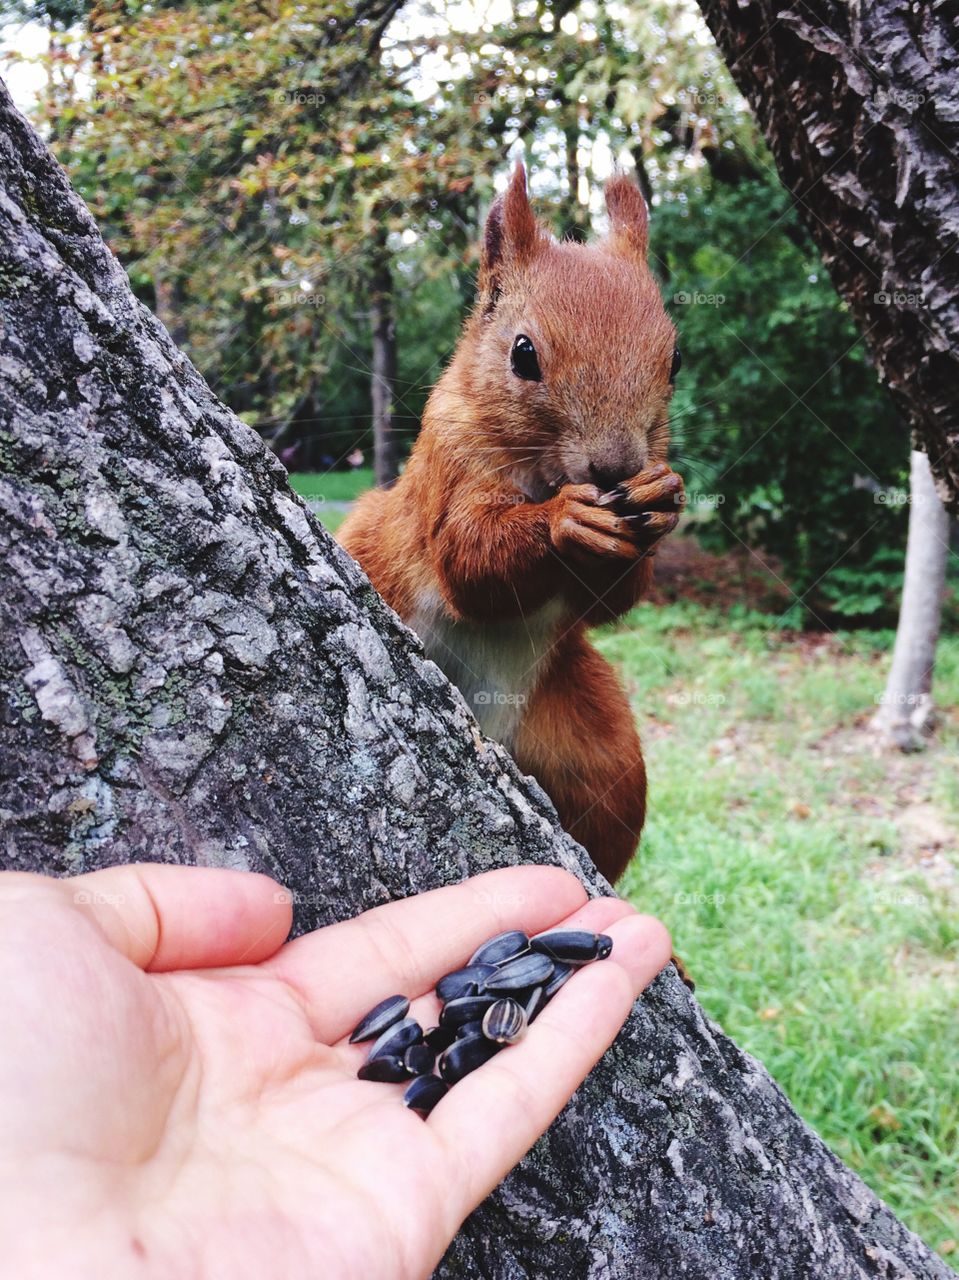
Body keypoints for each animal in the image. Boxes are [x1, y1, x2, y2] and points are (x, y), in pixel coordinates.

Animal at [339, 163, 684, 886]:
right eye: (523, 354)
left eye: (675, 360)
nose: (614, 467)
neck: (543, 475)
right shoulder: (445, 472)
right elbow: (469, 560)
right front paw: (563, 520)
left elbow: (611, 603)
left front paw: (662, 500)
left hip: (594, 744)